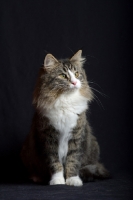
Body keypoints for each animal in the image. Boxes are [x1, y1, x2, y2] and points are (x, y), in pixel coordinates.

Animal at [20, 49, 109, 186]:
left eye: (77, 74)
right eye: (63, 76)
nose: (74, 82)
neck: (65, 102)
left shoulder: (77, 136)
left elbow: (73, 160)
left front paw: (73, 180)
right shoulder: (48, 138)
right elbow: (55, 162)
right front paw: (58, 180)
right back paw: (37, 177)